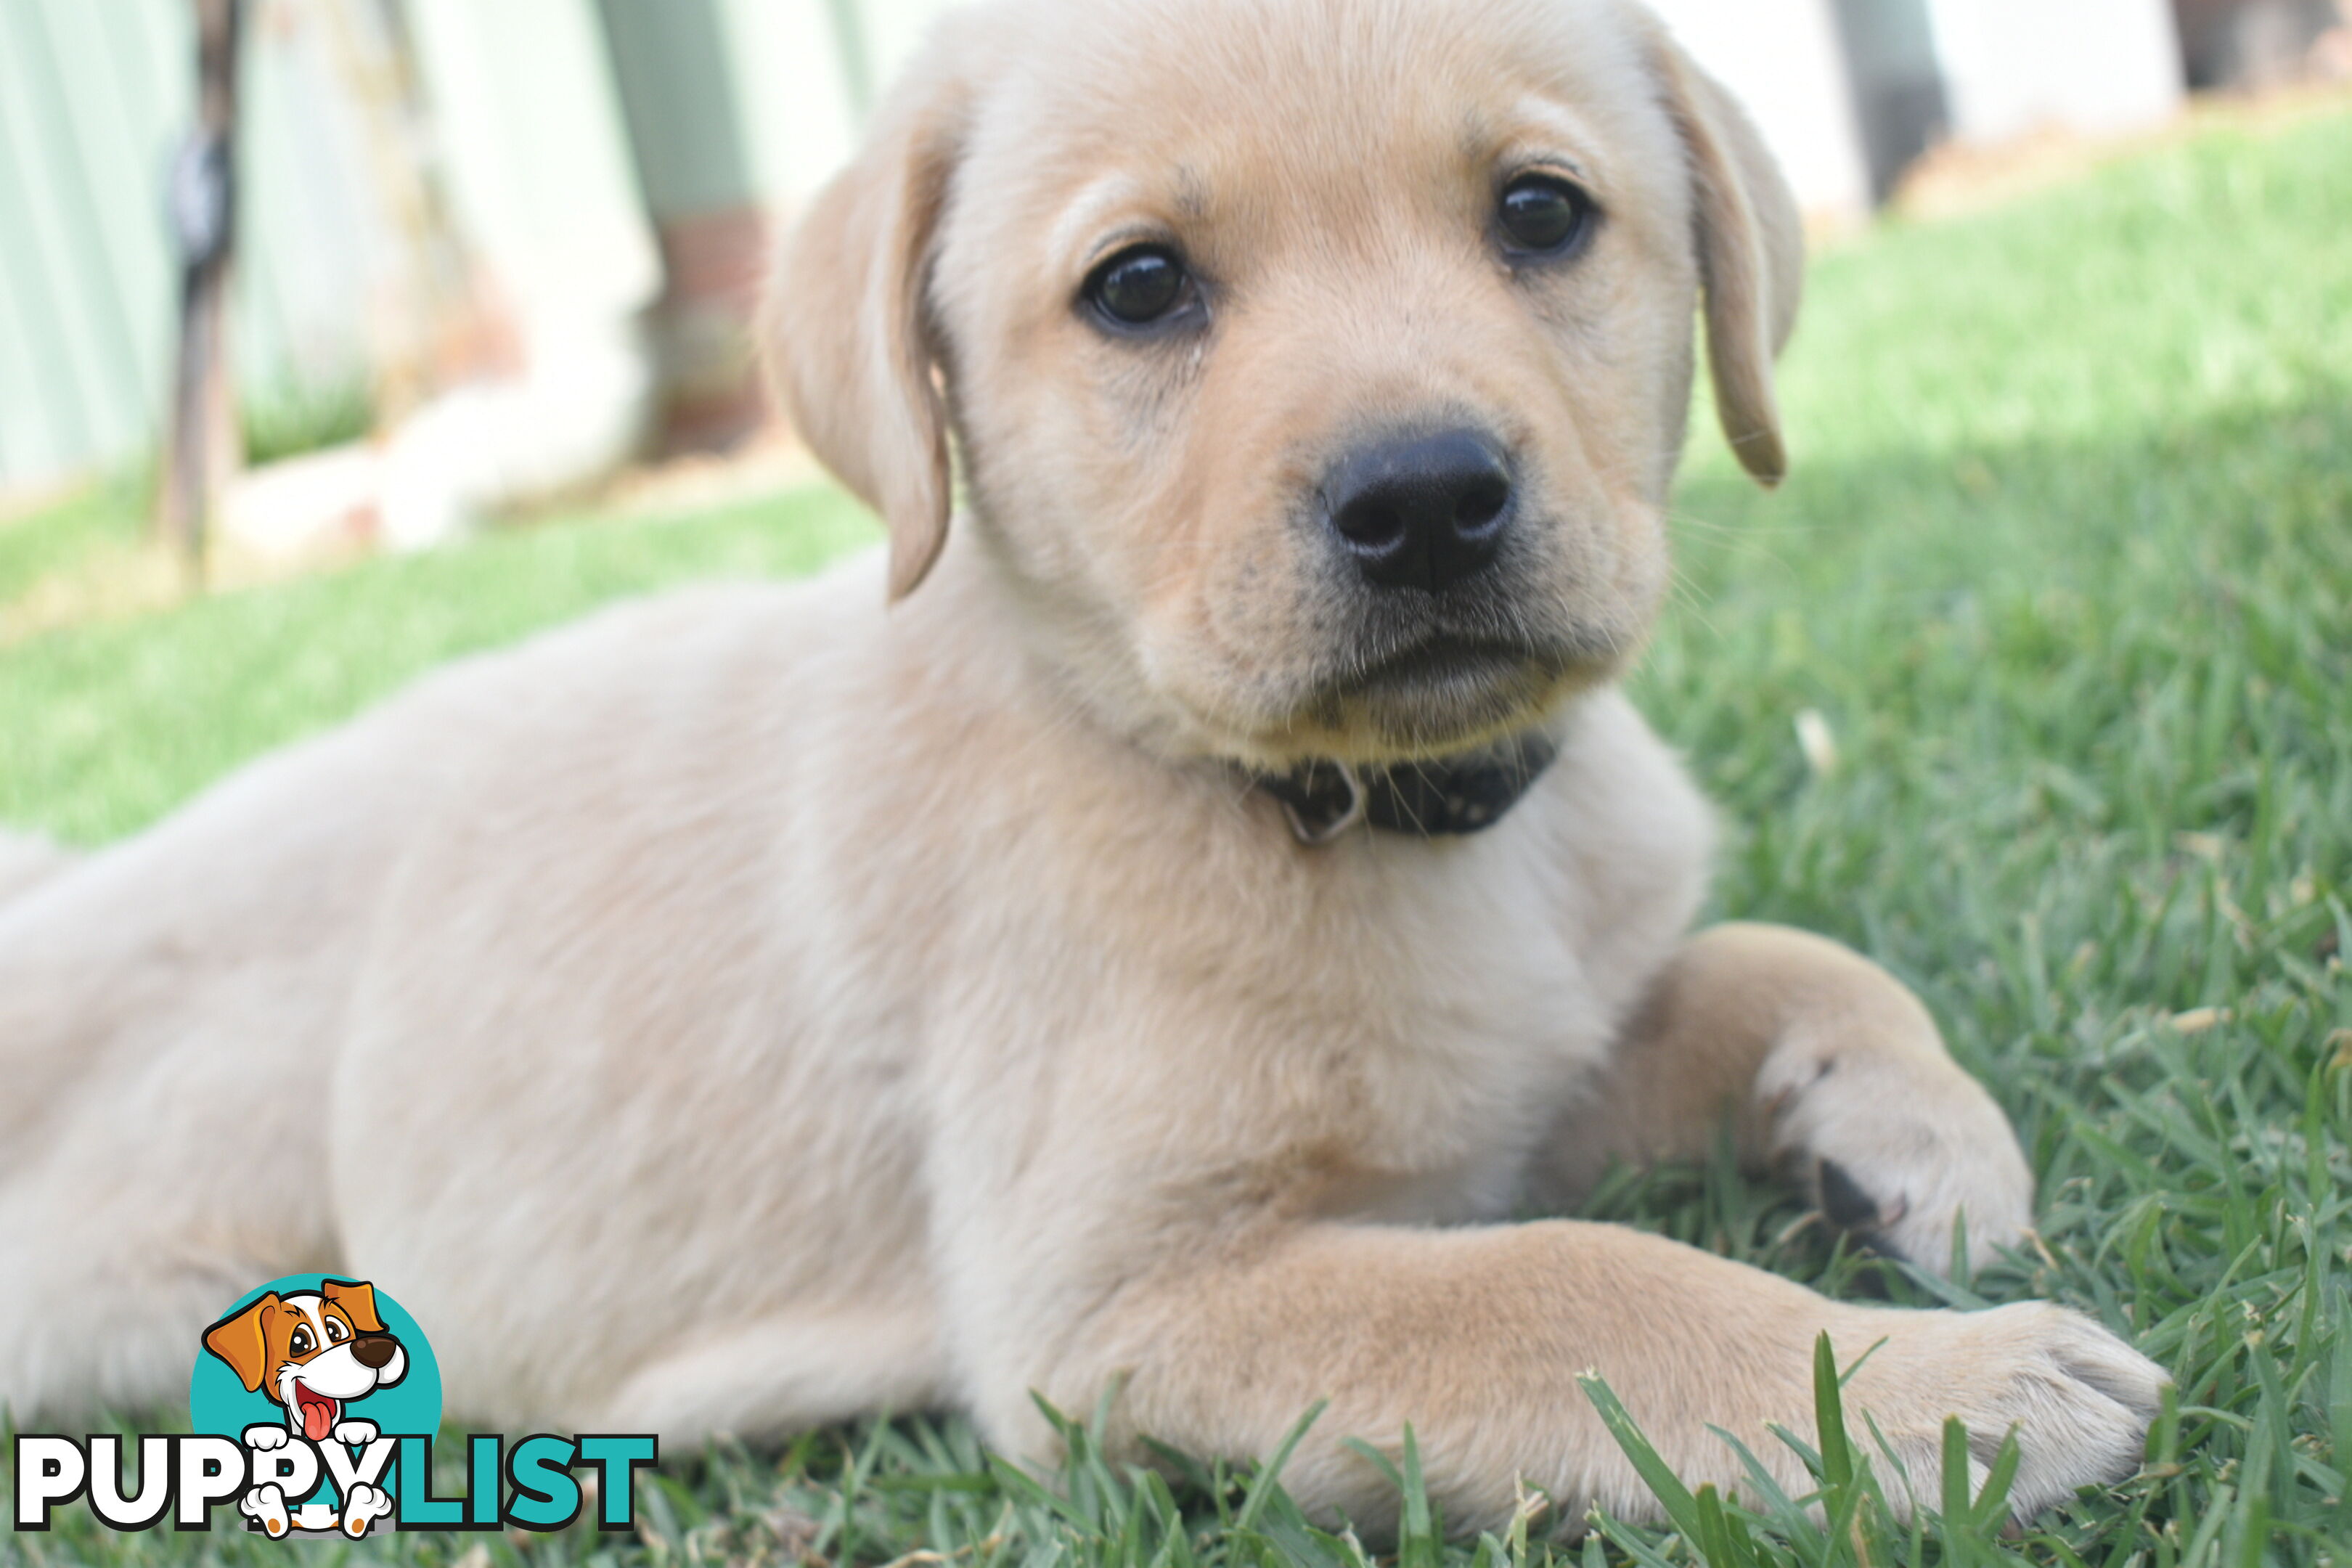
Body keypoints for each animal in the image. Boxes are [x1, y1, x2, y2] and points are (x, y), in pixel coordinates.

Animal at [4, 0, 2163, 1532]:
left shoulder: (1505, 1080)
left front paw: (1916, 1132)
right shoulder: (1123, 1306)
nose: (1424, 498)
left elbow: (1766, 961)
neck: (1326, 807)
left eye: (1539, 212)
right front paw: (1931, 1399)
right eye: (1138, 285)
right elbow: (1567, 1292)